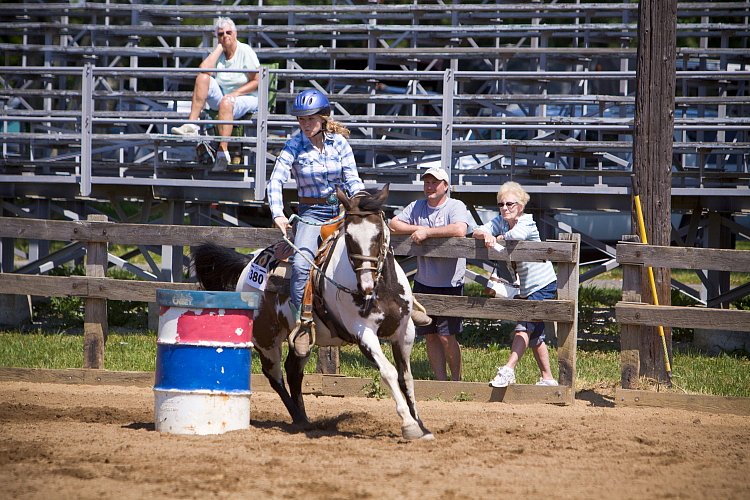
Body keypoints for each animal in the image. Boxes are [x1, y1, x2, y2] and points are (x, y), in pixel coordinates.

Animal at [194, 186, 434, 440]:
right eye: (349, 238)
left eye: (379, 234)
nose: (366, 286)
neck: (381, 288)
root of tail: (249, 261)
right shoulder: (363, 333)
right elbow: (388, 372)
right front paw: (409, 425)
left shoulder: (405, 332)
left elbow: (406, 378)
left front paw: (422, 426)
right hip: (266, 338)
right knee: (274, 375)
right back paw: (298, 417)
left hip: (300, 339)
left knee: (293, 371)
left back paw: (304, 419)